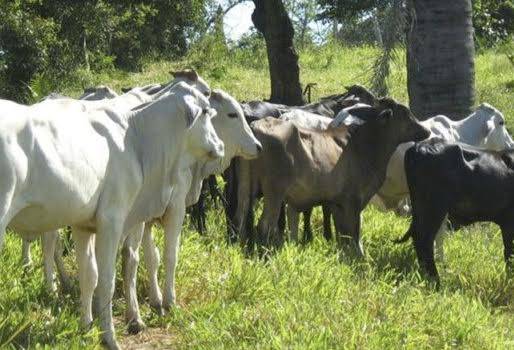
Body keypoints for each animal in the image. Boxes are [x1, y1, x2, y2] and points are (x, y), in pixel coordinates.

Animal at [0, 82, 222, 350]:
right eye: (207, 111)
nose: (220, 146)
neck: (136, 139)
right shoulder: (112, 220)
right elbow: (108, 279)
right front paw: (110, 336)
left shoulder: (83, 225)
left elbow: (89, 275)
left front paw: (86, 327)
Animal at [120, 88, 262, 328]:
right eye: (232, 114)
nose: (258, 146)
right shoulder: (174, 208)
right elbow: (169, 255)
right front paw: (169, 301)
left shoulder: (149, 217)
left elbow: (152, 258)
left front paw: (156, 299)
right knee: (129, 257)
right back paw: (134, 317)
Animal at [236, 98, 428, 254]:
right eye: (405, 115)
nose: (426, 131)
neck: (364, 146)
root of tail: (257, 126)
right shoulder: (353, 199)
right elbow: (354, 231)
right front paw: (359, 256)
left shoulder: (337, 202)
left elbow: (343, 233)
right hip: (274, 192)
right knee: (265, 226)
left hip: (246, 189)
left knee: (241, 220)